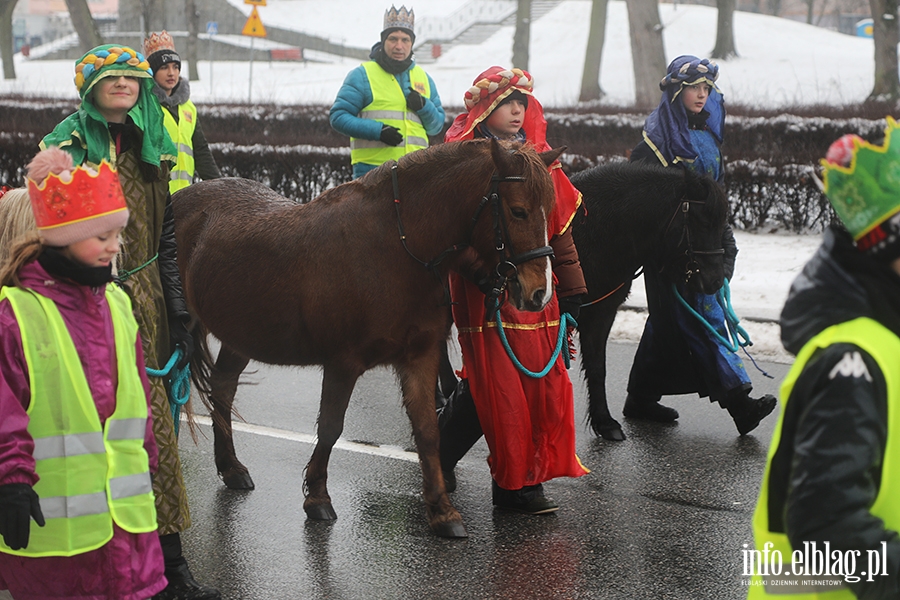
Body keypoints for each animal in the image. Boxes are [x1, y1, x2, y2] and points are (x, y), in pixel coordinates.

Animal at [175, 139, 564, 540]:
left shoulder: (419, 358)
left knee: (222, 389)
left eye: (550, 211)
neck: (394, 246)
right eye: (518, 211)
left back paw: (231, 467)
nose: (539, 293)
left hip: (240, 336)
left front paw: (441, 510)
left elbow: (427, 431)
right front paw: (317, 497)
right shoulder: (343, 363)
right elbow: (331, 427)